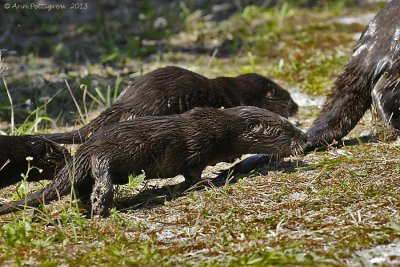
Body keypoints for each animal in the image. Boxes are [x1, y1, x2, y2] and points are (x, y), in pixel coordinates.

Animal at [0, 107, 306, 218]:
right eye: (286, 130)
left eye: (292, 126)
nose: (304, 138)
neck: (221, 128)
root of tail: (84, 152)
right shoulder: (198, 148)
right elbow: (192, 173)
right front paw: (206, 181)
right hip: (104, 156)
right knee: (101, 179)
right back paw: (102, 205)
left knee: (80, 190)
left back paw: (88, 206)